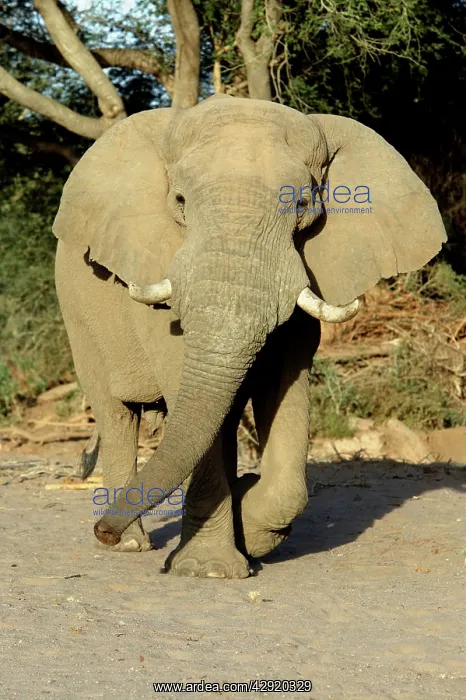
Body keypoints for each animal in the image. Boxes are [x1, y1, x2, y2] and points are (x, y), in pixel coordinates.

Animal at [53, 94, 446, 579]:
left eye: (301, 204)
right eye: (180, 201)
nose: (101, 529)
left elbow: (282, 384)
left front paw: (250, 525)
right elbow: (183, 379)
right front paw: (207, 570)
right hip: (76, 312)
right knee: (117, 414)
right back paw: (129, 545)